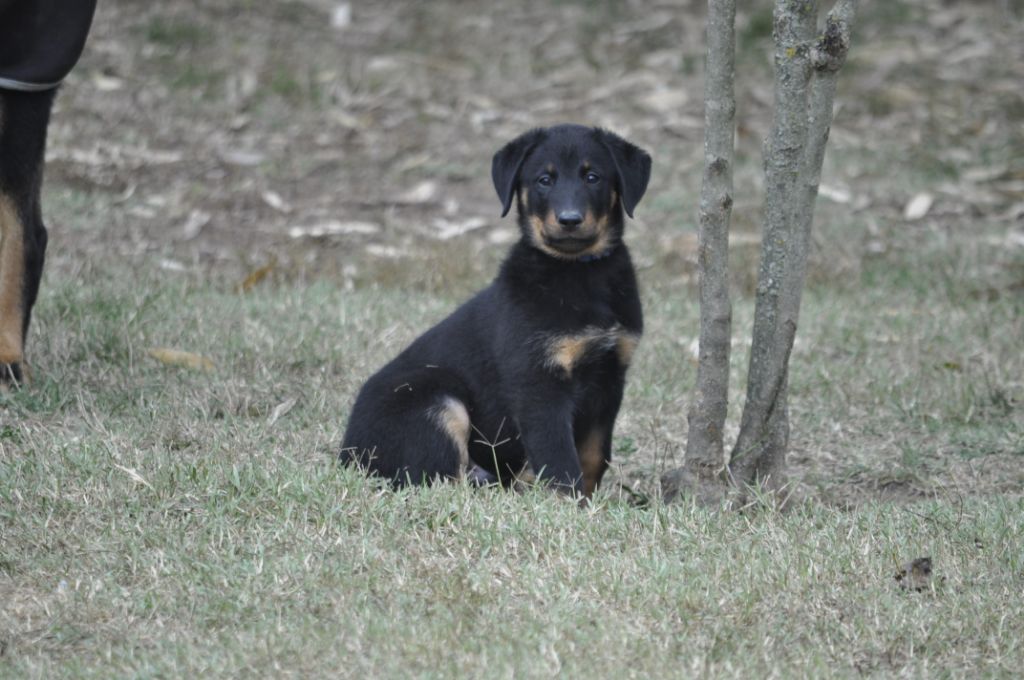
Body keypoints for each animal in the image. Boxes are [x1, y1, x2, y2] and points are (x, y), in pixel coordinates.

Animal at [339, 122, 651, 497]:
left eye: (593, 177)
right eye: (544, 180)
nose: (569, 220)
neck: (579, 271)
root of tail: (346, 453)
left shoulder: (611, 377)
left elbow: (594, 455)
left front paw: (588, 501)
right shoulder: (538, 382)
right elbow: (559, 459)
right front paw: (569, 503)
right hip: (435, 398)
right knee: (436, 478)